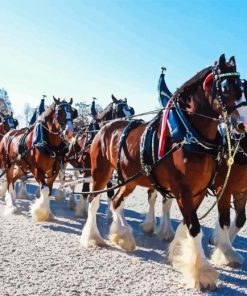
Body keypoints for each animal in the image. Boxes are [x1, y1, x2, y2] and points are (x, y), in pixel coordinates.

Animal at [81, 55, 245, 290]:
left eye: (242, 86)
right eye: (225, 87)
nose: (243, 124)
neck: (188, 135)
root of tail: (105, 126)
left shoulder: (199, 191)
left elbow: (188, 224)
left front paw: (177, 253)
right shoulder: (186, 190)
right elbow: (195, 227)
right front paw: (201, 272)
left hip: (129, 180)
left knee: (116, 202)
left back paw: (123, 236)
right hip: (100, 172)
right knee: (94, 201)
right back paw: (93, 238)